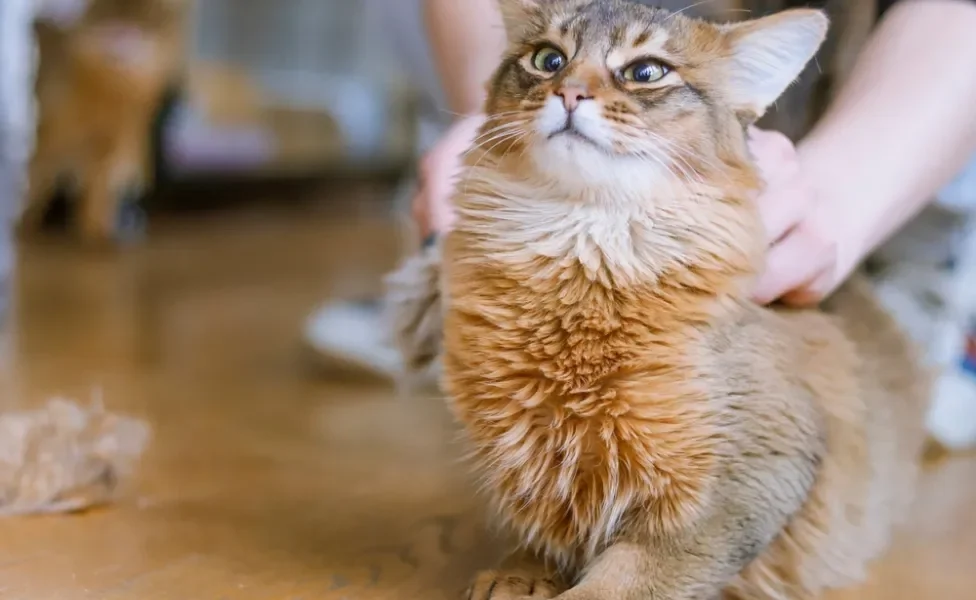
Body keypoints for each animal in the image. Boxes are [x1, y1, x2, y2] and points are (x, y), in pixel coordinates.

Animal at [23, 0, 189, 245]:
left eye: (149, 19)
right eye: (109, 13)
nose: (126, 32)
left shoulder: (106, 153)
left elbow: (98, 195)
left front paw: (96, 231)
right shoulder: (48, 145)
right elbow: (35, 187)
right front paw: (23, 226)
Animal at [384, 2, 932, 596]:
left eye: (645, 72)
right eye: (548, 59)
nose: (569, 91)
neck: (581, 267)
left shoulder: (749, 475)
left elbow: (622, 579)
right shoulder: (533, 462)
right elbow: (546, 531)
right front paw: (521, 573)